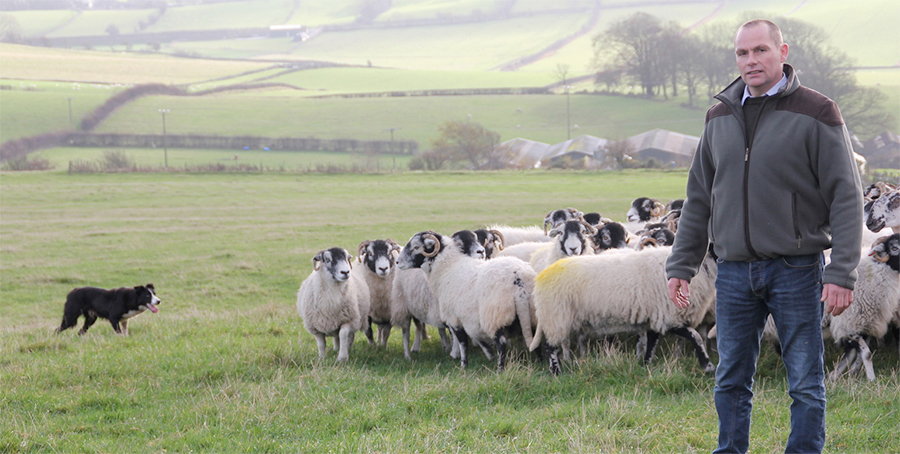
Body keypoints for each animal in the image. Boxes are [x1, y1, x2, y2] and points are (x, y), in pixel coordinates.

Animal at [397, 230, 535, 371]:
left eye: (416, 247)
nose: (397, 262)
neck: (448, 268)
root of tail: (517, 278)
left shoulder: (454, 317)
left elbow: (463, 342)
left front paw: (463, 364)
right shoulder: (468, 318)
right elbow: (475, 337)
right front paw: (489, 355)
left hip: (495, 315)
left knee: (501, 343)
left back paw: (500, 369)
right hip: (531, 313)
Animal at [528, 246, 718, 375]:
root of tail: (540, 278)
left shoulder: (657, 316)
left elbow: (652, 342)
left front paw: (646, 365)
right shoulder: (668, 317)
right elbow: (696, 336)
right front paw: (707, 366)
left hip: (555, 317)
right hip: (556, 316)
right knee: (550, 347)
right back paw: (556, 373)